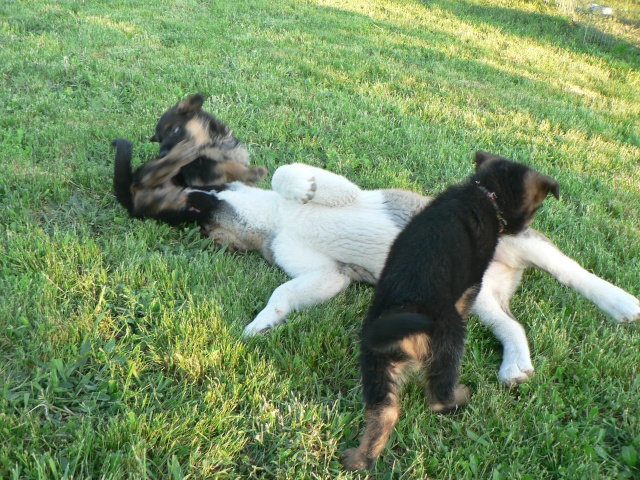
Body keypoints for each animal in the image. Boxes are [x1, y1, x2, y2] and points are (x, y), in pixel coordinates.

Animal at [114, 94, 266, 225]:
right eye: (160, 140)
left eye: (175, 130)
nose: (163, 154)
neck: (212, 144)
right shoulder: (199, 174)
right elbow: (224, 165)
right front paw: (250, 172)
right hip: (149, 171)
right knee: (151, 175)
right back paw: (179, 154)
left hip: (166, 208)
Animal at [342, 152, 556, 470]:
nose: (522, 230)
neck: (484, 193)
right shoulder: (474, 279)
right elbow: (468, 298)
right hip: (448, 344)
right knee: (438, 397)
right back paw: (459, 397)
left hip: (375, 361)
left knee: (383, 412)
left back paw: (359, 460)